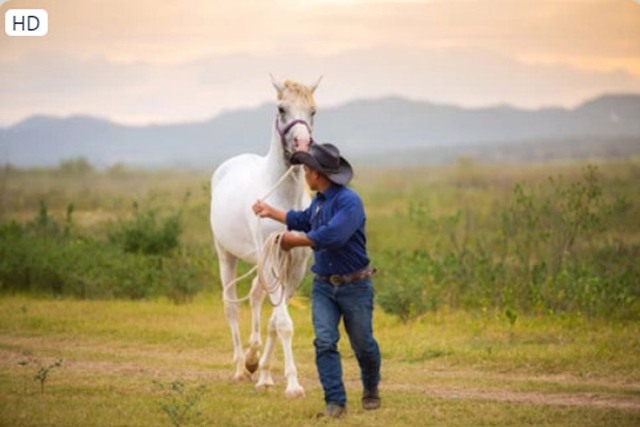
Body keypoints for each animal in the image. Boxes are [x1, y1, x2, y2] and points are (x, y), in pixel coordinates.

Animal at [210, 76, 320, 398]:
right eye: (281, 108)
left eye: (313, 111)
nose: (302, 146)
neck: (284, 199)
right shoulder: (272, 261)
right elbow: (283, 322)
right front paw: (293, 384)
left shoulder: (295, 265)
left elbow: (274, 321)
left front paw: (264, 373)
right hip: (226, 255)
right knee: (232, 307)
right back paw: (238, 368)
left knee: (256, 297)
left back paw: (251, 361)